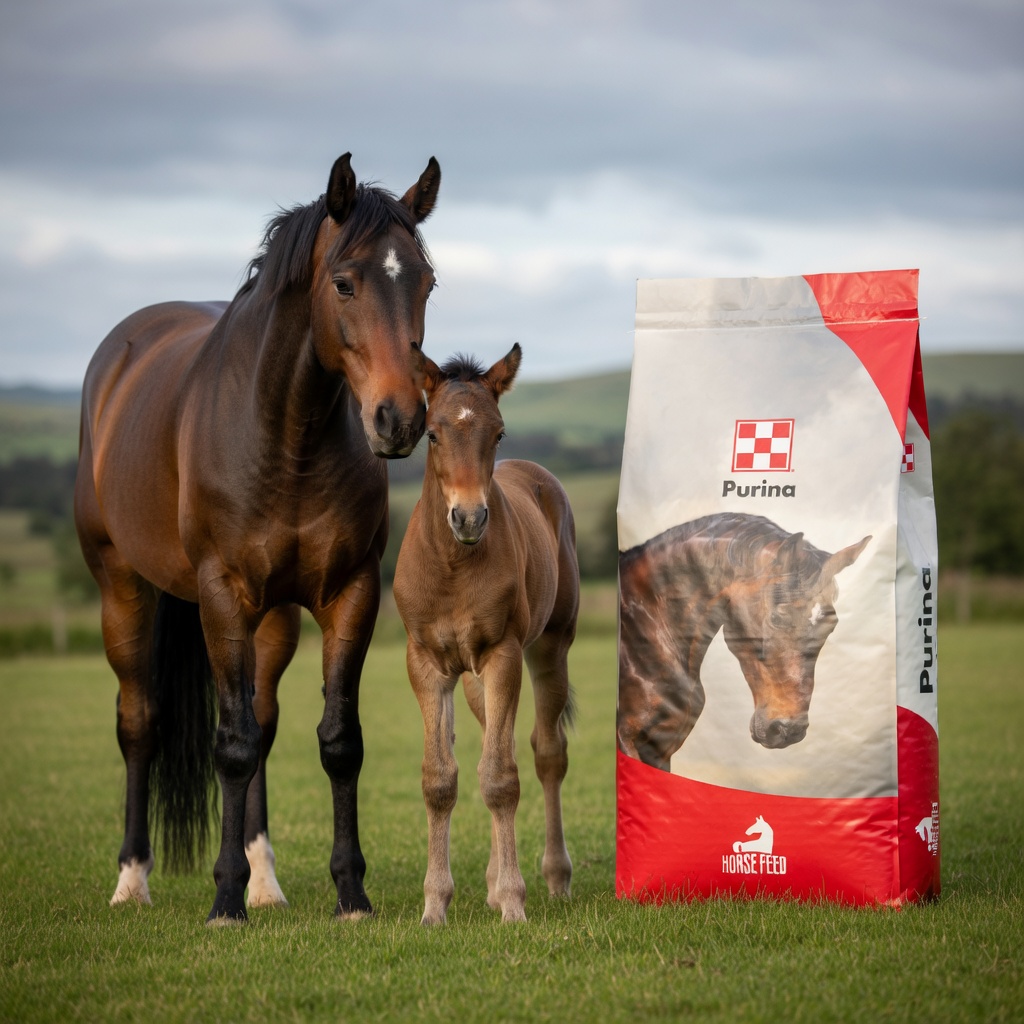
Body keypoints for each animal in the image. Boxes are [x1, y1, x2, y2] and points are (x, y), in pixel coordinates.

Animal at [75, 152, 441, 924]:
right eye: (344, 282)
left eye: (425, 283)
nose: (399, 419)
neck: (284, 433)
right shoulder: (221, 594)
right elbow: (233, 745)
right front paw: (223, 900)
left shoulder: (349, 593)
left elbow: (336, 742)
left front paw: (350, 894)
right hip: (122, 587)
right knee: (140, 722)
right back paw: (133, 879)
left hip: (273, 618)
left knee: (265, 718)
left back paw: (265, 880)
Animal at [392, 345, 579, 924]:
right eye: (431, 433)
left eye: (498, 432)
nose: (470, 517)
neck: (453, 567)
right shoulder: (426, 663)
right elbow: (440, 778)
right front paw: (435, 906)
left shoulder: (503, 655)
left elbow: (501, 780)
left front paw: (515, 905)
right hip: (474, 677)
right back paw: (495, 882)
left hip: (548, 649)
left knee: (546, 753)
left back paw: (553, 877)